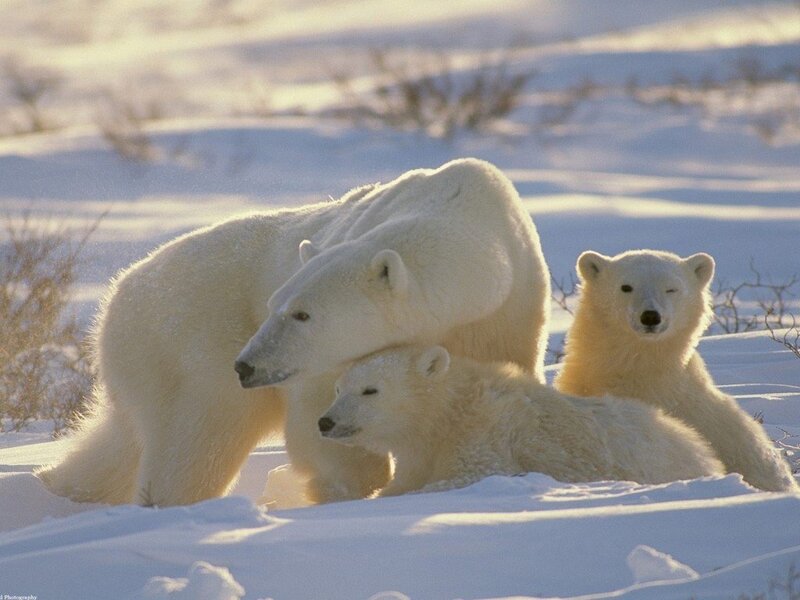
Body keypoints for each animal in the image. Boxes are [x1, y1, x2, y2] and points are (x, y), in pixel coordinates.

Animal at [37, 158, 550, 506]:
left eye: (301, 314)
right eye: (274, 305)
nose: (246, 365)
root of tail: (116, 294)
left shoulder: (507, 313)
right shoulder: (322, 363)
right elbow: (317, 416)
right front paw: (347, 484)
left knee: (119, 442)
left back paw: (59, 486)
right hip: (188, 343)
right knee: (200, 438)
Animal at [318, 345, 725, 496]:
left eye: (370, 390)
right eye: (338, 388)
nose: (325, 422)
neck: (451, 411)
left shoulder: (487, 433)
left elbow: (470, 474)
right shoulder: (420, 452)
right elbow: (404, 480)